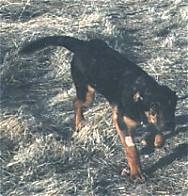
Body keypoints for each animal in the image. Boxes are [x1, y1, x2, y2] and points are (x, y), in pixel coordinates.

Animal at [19, 35, 178, 181]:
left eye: (172, 107)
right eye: (154, 108)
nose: (170, 125)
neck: (139, 92)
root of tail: (83, 45)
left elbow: (158, 135)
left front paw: (154, 140)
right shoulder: (123, 123)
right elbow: (131, 149)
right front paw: (136, 172)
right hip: (87, 94)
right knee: (76, 102)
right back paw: (79, 123)